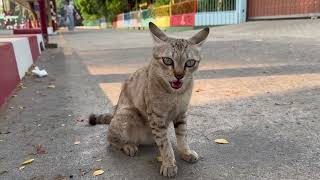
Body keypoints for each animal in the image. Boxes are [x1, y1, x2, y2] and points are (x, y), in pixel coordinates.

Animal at [89, 22, 210, 177]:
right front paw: (169, 163)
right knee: (110, 139)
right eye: (167, 60)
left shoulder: (182, 113)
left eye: (190, 63)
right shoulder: (156, 117)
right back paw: (128, 145)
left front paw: (185, 152)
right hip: (127, 112)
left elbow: (182, 135)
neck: (175, 94)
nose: (179, 75)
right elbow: (165, 144)